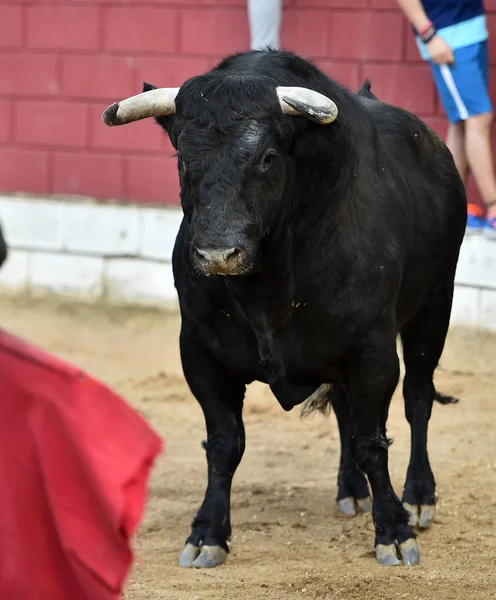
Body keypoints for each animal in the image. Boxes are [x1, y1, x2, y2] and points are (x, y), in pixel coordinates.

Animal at [102, 50, 466, 568]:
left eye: (268, 158)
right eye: (183, 160)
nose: (218, 254)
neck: (266, 287)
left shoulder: (372, 351)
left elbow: (372, 441)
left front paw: (394, 532)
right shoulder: (200, 352)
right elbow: (224, 444)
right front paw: (207, 534)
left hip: (435, 305)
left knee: (418, 397)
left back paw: (419, 496)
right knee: (345, 409)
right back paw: (351, 490)